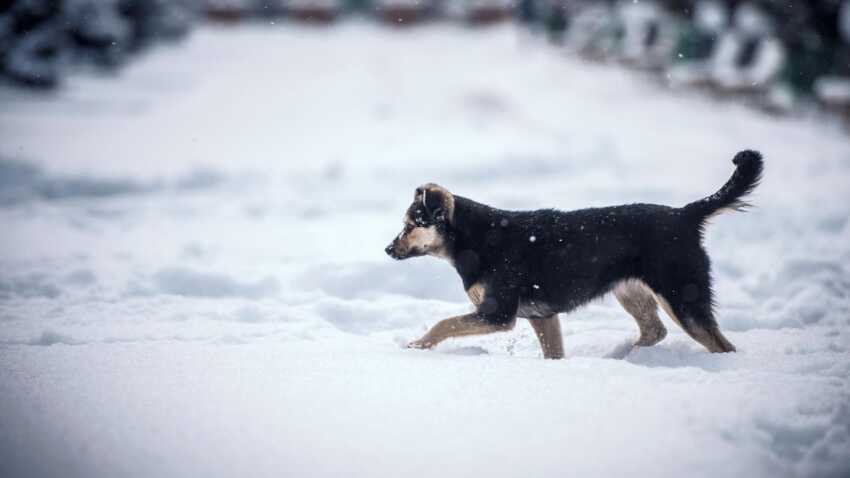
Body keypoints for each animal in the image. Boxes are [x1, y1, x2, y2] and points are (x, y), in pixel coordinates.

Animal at [384, 150, 760, 358]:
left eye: (409, 225)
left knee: (720, 345)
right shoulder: (543, 316)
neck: (473, 239)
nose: (387, 249)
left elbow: (443, 323)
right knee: (655, 330)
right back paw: (626, 356)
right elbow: (554, 354)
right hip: (631, 291)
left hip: (682, 296)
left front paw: (416, 346)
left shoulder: (498, 314)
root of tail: (685, 215)